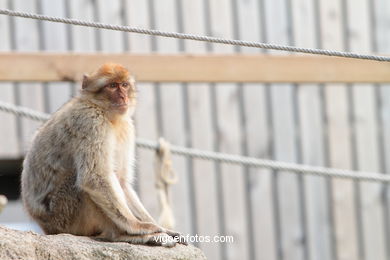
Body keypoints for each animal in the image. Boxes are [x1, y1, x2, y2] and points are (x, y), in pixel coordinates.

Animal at [21, 63, 184, 248]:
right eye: (112, 86)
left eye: (124, 85)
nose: (123, 97)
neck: (103, 111)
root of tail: (46, 228)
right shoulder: (90, 121)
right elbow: (94, 177)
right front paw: (139, 227)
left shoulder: (126, 127)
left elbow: (121, 181)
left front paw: (160, 227)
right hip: (64, 217)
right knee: (82, 182)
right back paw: (120, 235)